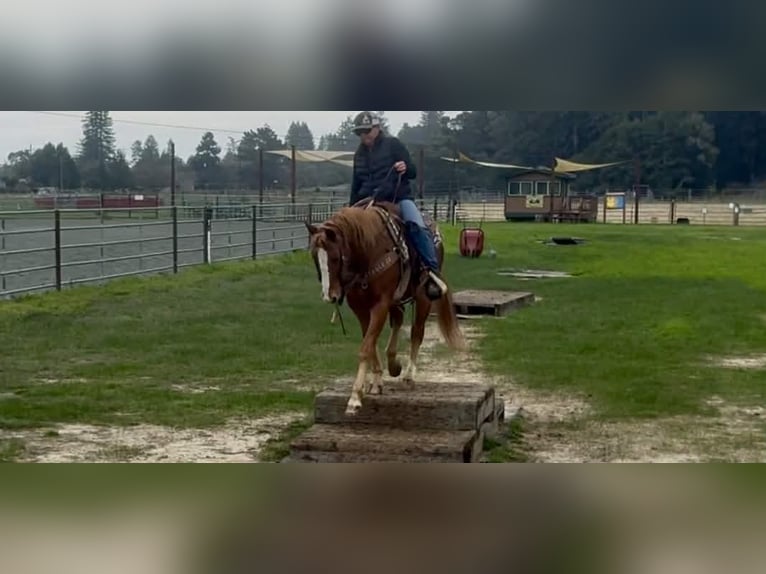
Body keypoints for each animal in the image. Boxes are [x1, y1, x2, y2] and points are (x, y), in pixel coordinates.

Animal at [305, 199, 467, 416]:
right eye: (315, 256)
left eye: (335, 258)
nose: (329, 296)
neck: (368, 251)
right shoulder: (360, 308)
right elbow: (370, 342)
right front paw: (376, 382)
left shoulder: (380, 305)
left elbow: (366, 346)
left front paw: (355, 397)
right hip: (396, 301)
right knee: (398, 320)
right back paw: (393, 363)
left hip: (423, 297)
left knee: (417, 332)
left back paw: (408, 375)